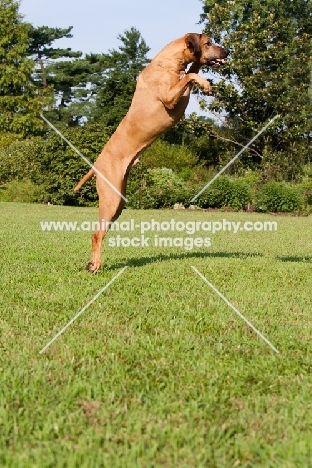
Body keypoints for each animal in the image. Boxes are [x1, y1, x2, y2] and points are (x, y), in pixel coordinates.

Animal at [74, 33, 228, 272]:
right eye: (208, 43)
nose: (227, 52)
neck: (168, 64)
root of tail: (96, 165)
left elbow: (191, 70)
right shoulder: (170, 97)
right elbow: (190, 75)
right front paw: (206, 84)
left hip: (118, 203)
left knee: (101, 231)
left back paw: (92, 262)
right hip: (110, 198)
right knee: (96, 234)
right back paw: (96, 265)